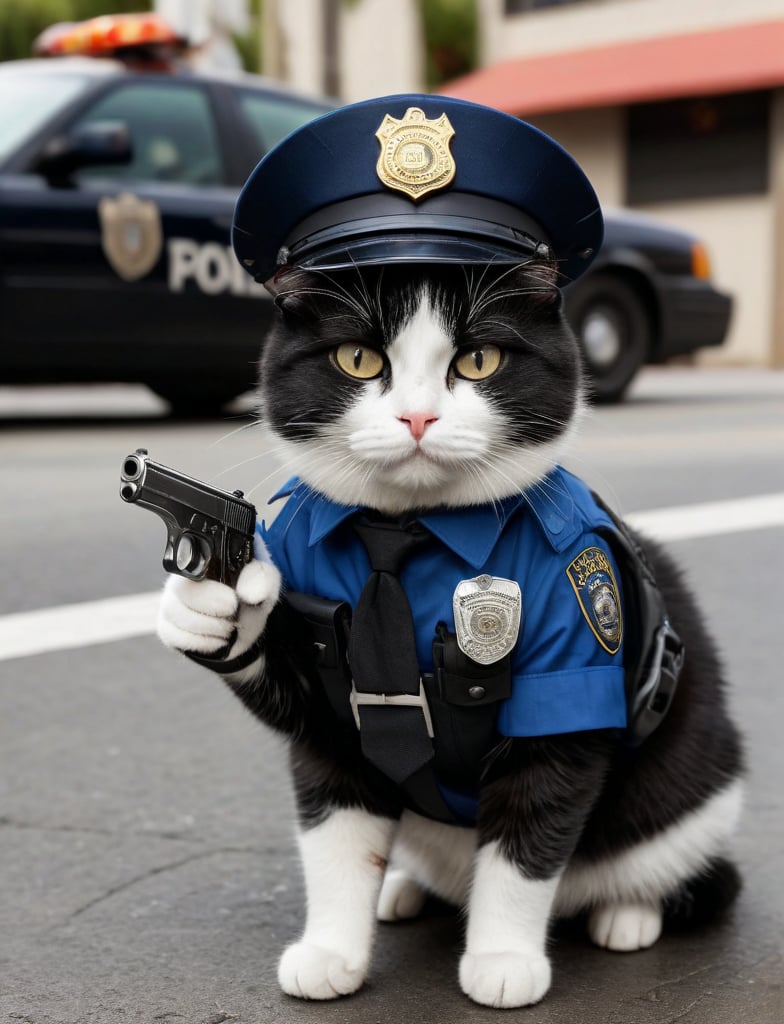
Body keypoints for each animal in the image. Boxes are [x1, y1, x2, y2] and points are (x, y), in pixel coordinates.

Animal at [156, 260, 745, 1011]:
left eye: (478, 361)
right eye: (358, 360)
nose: (417, 416)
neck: (401, 530)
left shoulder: (575, 645)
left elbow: (528, 836)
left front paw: (502, 959)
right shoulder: (328, 716)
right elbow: (334, 833)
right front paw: (331, 950)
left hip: (697, 790)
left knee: (674, 867)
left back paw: (627, 913)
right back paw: (405, 888)